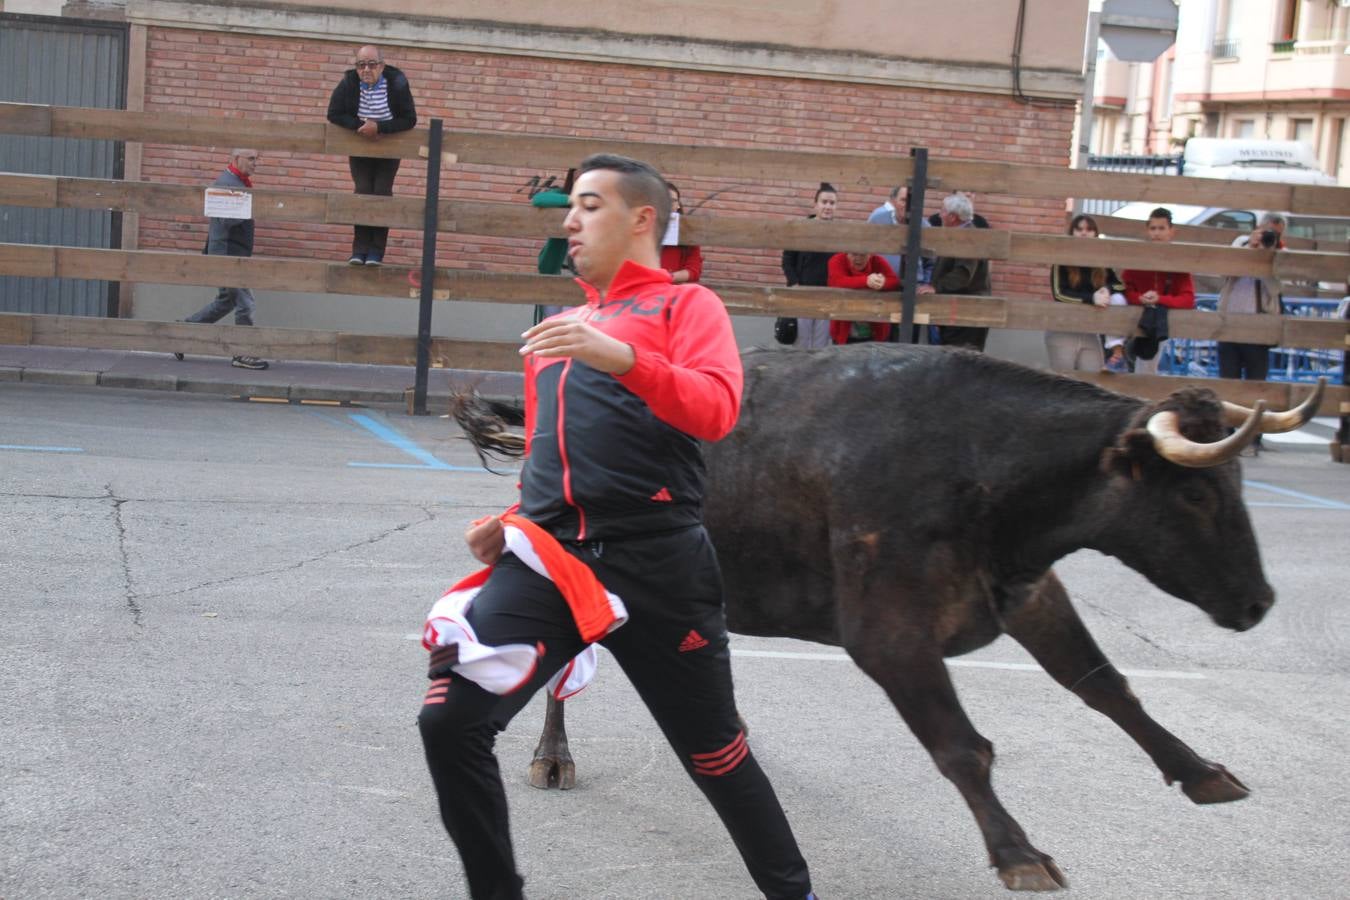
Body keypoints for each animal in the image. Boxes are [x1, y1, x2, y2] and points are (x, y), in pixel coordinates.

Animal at [453, 348, 1317, 895]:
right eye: (1195, 494)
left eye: (1237, 485)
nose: (1258, 603)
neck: (987, 466)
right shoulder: (889, 635)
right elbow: (964, 748)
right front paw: (1018, 853)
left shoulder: (1030, 594)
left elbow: (1107, 687)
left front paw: (1200, 771)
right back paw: (552, 757)